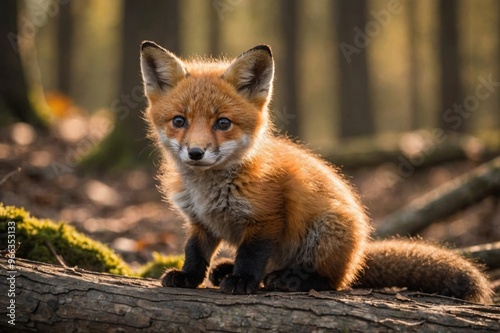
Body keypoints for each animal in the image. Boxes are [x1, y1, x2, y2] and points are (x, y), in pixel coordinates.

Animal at [140, 40, 492, 302]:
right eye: (179, 121)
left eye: (223, 123)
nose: (196, 153)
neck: (209, 190)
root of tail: (359, 255)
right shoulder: (200, 221)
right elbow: (194, 251)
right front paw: (188, 276)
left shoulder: (267, 218)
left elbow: (251, 256)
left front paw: (242, 280)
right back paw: (227, 269)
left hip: (327, 230)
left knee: (334, 281)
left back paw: (290, 279)